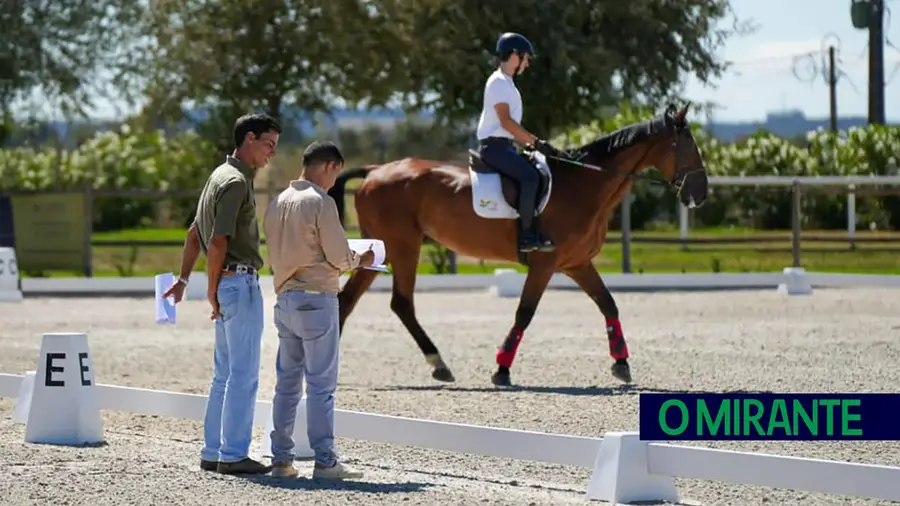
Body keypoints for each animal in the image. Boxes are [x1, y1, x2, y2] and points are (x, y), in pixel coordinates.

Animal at [328, 103, 712, 388]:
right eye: (687, 145)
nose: (700, 195)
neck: (583, 185)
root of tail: (375, 171)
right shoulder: (545, 264)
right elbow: (525, 312)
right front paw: (502, 369)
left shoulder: (576, 264)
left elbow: (609, 304)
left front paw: (621, 363)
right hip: (405, 246)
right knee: (399, 302)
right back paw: (437, 363)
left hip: (385, 249)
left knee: (351, 300)